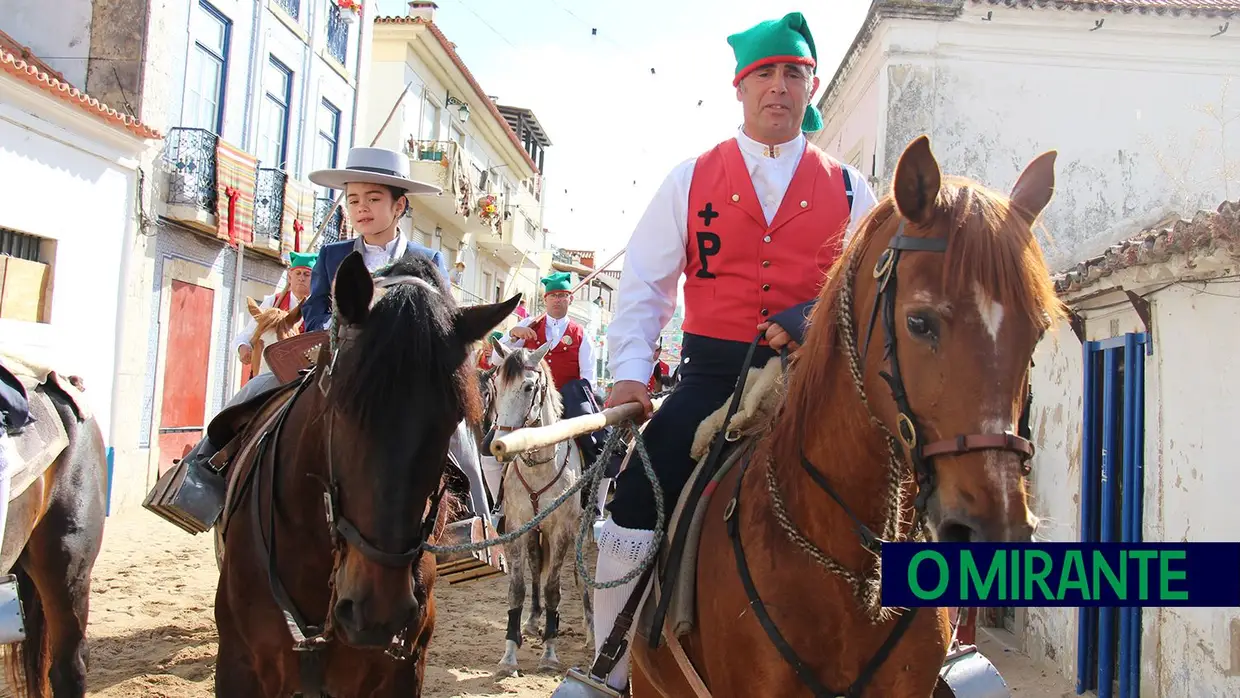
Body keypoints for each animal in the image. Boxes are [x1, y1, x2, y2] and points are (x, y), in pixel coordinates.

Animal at [488, 342, 590, 679]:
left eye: (528, 387)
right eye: (496, 386)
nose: (497, 445)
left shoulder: (560, 530)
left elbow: (553, 589)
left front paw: (549, 652)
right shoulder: (517, 527)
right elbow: (518, 588)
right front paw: (509, 654)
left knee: (580, 575)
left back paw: (590, 628)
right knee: (535, 567)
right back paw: (533, 621)